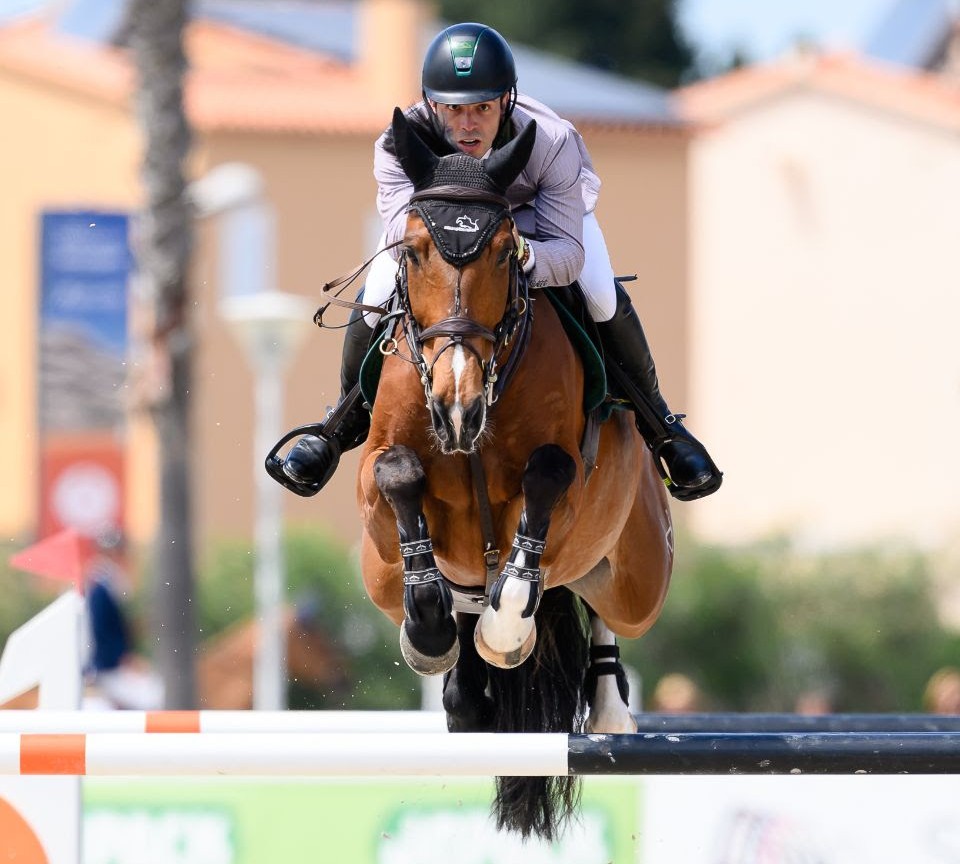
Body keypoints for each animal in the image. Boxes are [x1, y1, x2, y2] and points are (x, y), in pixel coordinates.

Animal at [354, 109, 673, 840]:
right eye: (413, 251)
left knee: (597, 604)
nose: (458, 406)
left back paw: (602, 699)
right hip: (377, 574)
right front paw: (431, 632)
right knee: (460, 613)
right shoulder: (374, 483)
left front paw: (507, 629)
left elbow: (546, 479)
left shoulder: (567, 488)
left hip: (638, 577)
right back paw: (461, 679)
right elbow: (397, 473)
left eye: (504, 252)